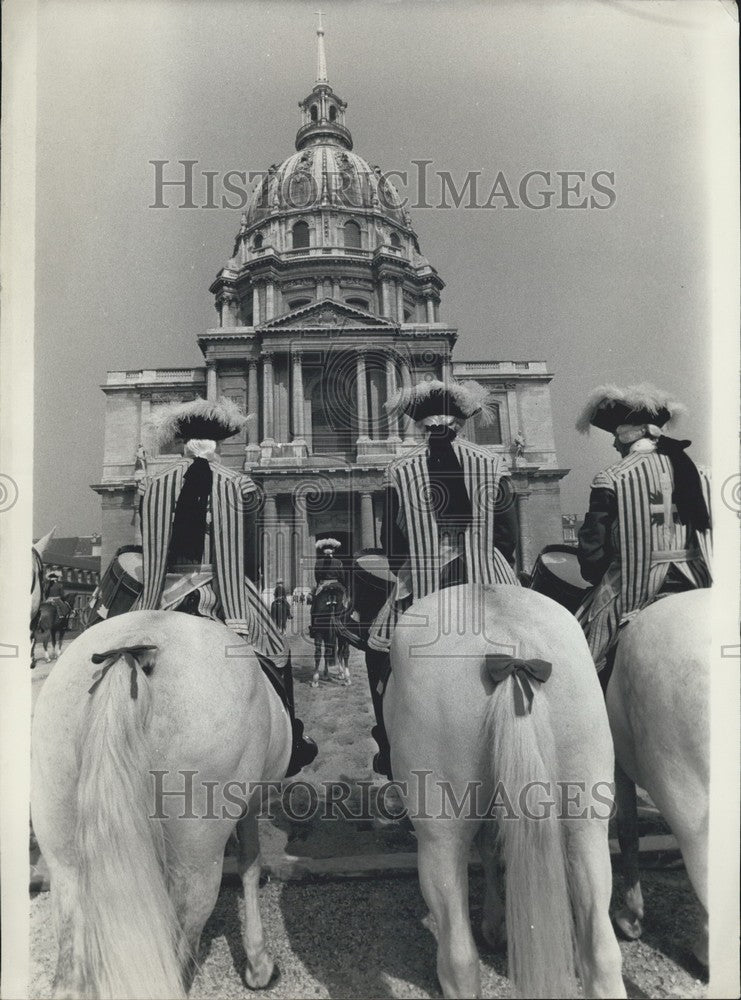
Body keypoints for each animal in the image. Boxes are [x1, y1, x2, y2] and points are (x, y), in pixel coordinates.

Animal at [31, 608, 292, 1000]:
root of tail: (133, 648)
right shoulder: (248, 806)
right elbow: (250, 865)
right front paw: (259, 965)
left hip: (64, 863)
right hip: (195, 868)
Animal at [388, 584, 624, 1000]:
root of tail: (513, 649)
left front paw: (494, 925)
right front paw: (498, 924)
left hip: (438, 837)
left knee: (459, 959)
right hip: (587, 823)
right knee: (602, 954)